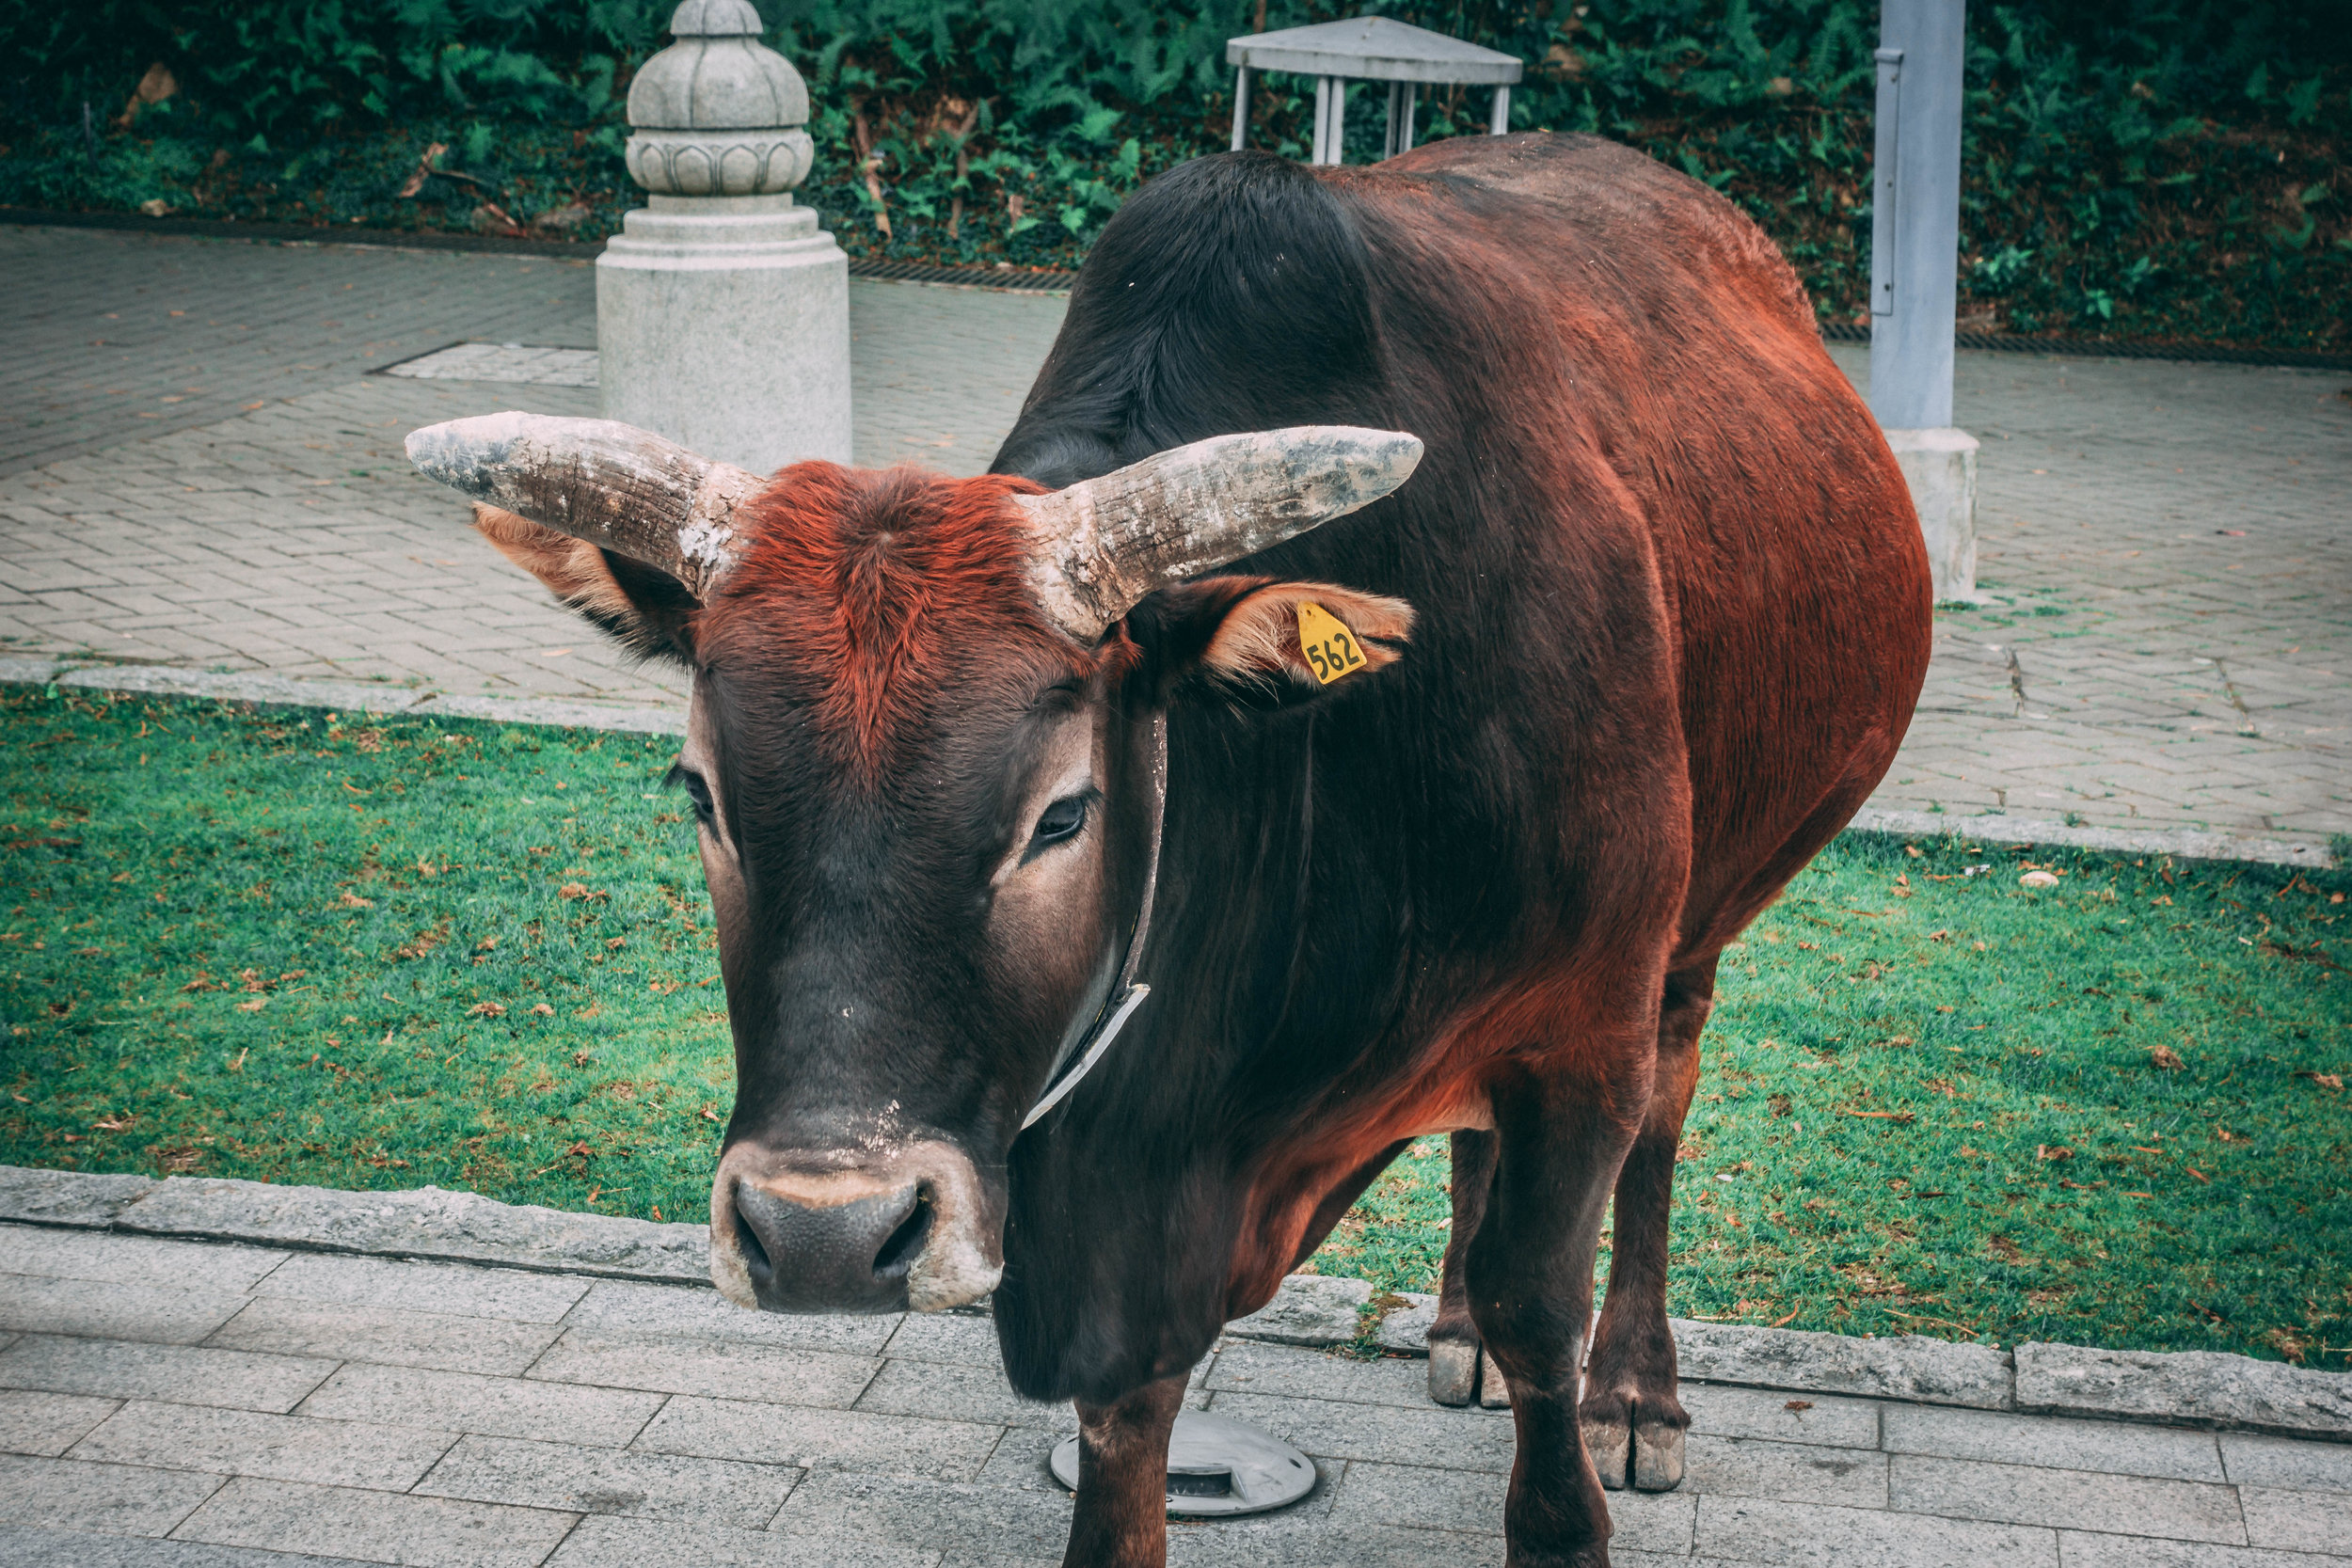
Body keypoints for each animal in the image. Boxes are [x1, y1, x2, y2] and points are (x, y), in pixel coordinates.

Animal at [407, 134, 1931, 1567]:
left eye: (1062, 813)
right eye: (701, 793)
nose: (825, 1232)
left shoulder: (1583, 1027)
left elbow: (1539, 1296)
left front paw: (1567, 1465)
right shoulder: (1114, 1218)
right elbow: (1129, 1431)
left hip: (1699, 928)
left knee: (1662, 1123)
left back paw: (1635, 1394)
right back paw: (1453, 1332)